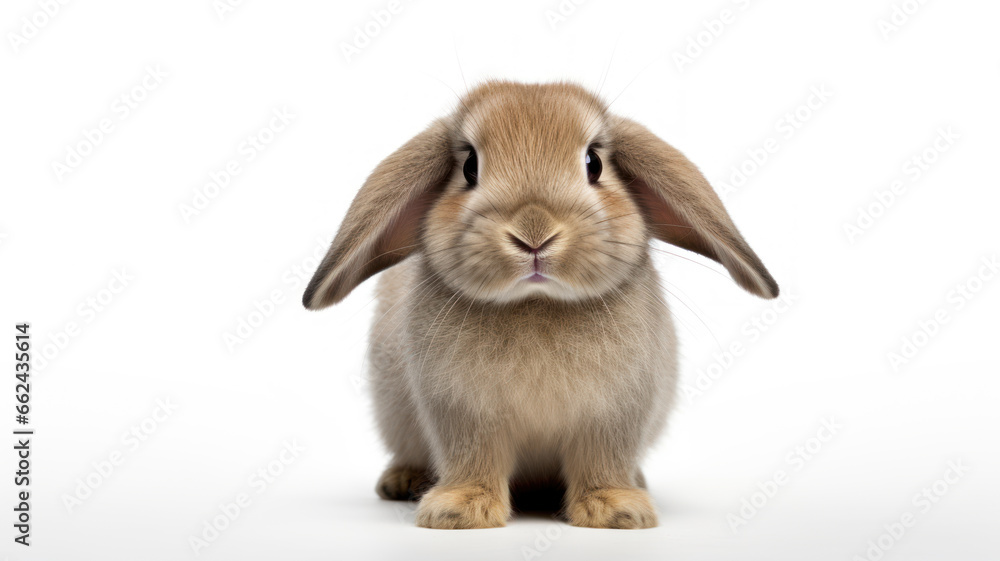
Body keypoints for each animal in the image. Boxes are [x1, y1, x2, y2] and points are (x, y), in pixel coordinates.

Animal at [300, 81, 776, 528]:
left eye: (594, 163)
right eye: (469, 167)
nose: (534, 232)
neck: (536, 302)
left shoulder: (613, 416)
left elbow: (601, 461)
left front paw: (616, 511)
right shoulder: (463, 415)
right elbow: (474, 459)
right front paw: (458, 512)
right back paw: (404, 482)